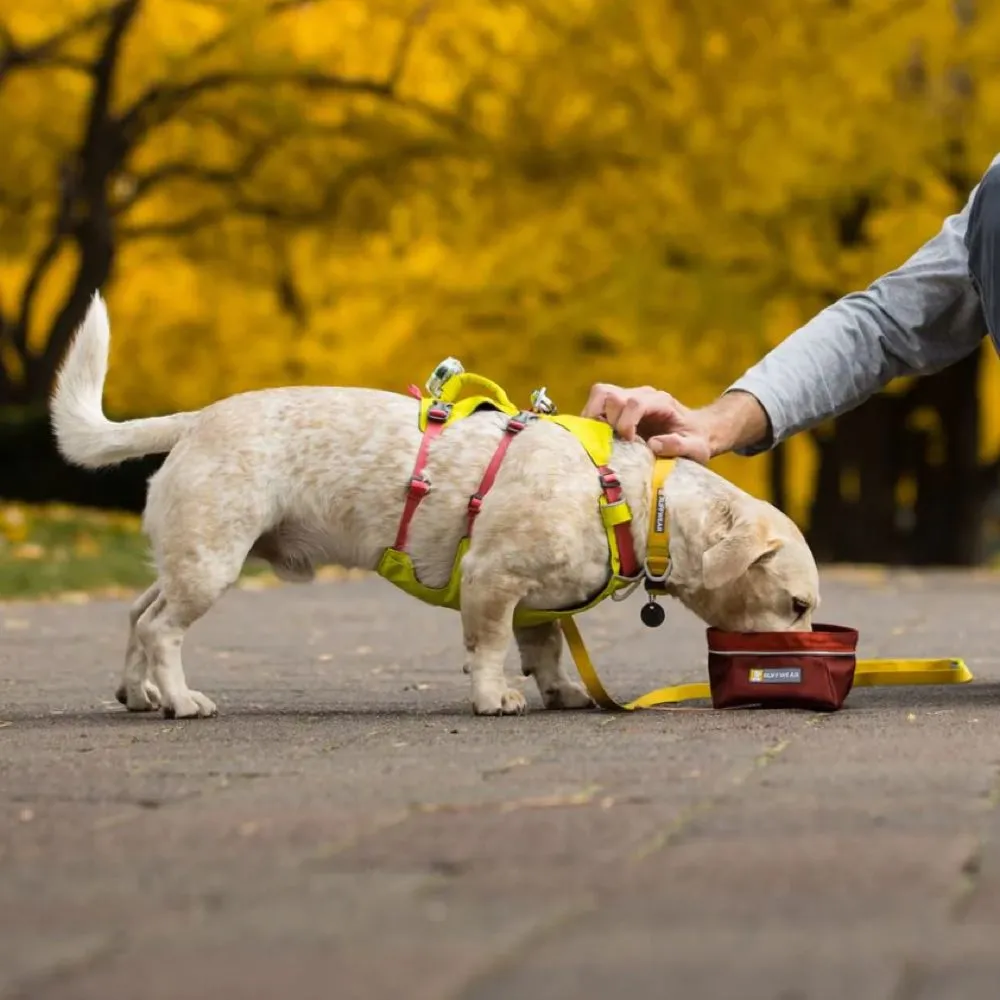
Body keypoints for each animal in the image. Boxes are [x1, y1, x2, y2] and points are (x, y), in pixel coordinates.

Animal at [50, 294, 820, 720]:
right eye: (798, 606)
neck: (630, 499)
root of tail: (195, 419)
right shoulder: (493, 582)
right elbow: (491, 648)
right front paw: (493, 698)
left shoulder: (540, 606)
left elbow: (546, 652)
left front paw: (561, 691)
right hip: (211, 562)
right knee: (162, 632)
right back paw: (181, 700)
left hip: (189, 559)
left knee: (138, 614)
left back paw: (140, 695)